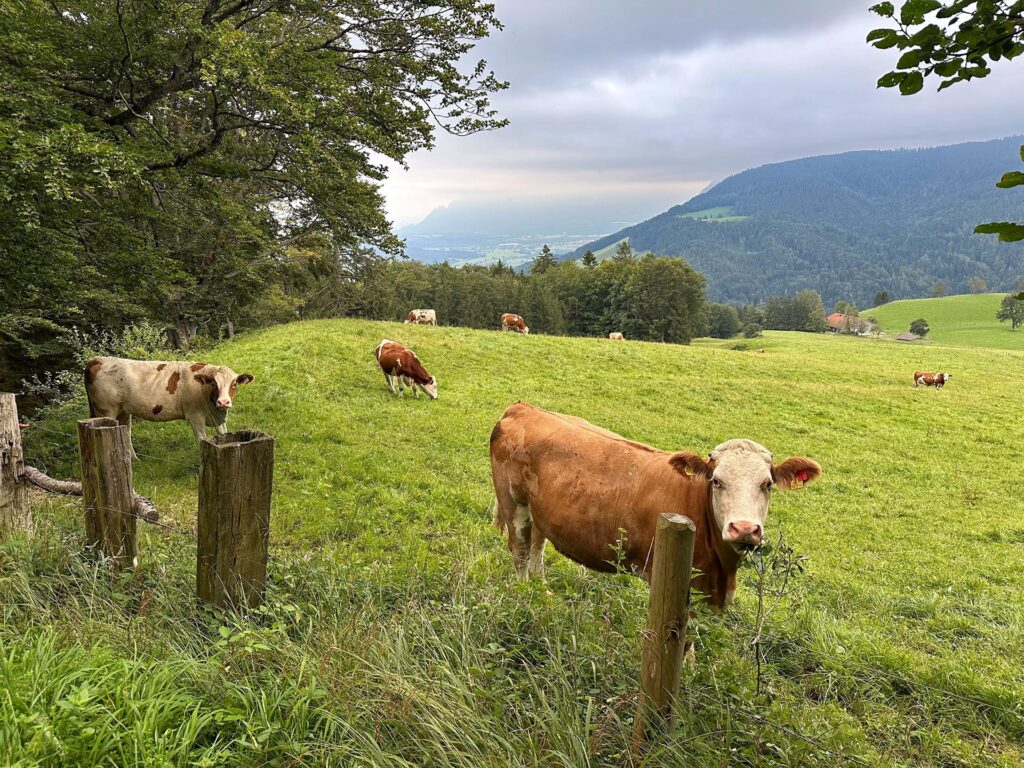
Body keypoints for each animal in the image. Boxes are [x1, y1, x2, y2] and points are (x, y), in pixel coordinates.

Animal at [84, 357, 255, 446]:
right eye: (213, 383)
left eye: (234, 384)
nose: (223, 402)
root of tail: (98, 359)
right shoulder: (195, 417)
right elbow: (202, 440)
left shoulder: (217, 417)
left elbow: (224, 433)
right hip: (106, 411)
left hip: (124, 412)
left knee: (126, 433)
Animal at [489, 402, 821, 611]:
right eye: (716, 481)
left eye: (768, 484)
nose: (744, 529)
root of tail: (524, 407)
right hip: (512, 502)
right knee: (520, 551)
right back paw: (524, 596)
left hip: (540, 511)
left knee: (537, 546)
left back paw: (542, 591)